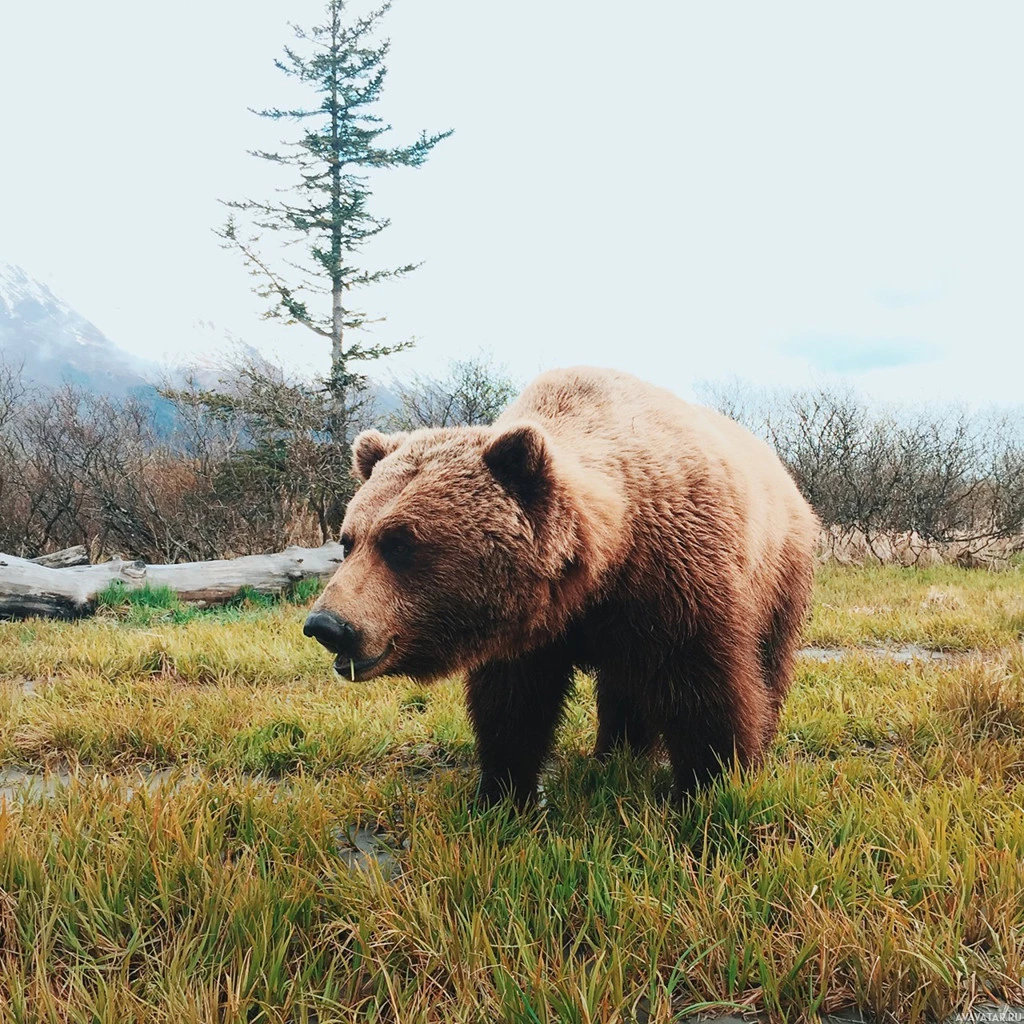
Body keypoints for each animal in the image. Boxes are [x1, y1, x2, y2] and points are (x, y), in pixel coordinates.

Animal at [301, 368, 815, 806]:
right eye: (349, 541)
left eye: (401, 544)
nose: (328, 624)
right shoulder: (527, 630)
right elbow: (512, 707)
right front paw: (505, 793)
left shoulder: (676, 585)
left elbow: (705, 691)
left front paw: (714, 785)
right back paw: (616, 753)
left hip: (778, 572)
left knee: (767, 659)